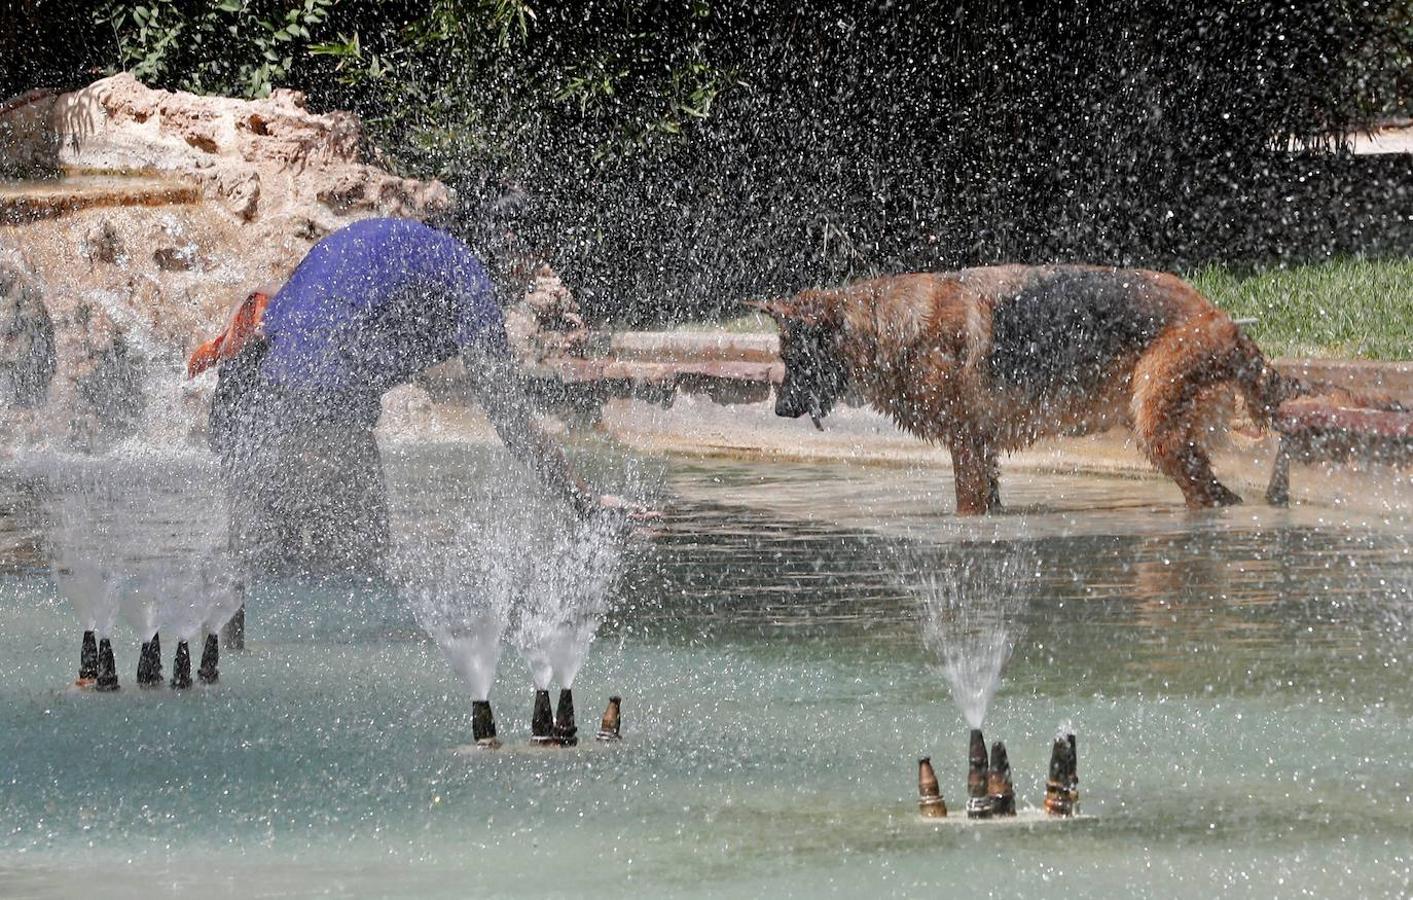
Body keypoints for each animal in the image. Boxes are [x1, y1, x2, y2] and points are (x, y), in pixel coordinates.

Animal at [757, 265, 1305, 511]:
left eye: (794, 359)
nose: (780, 410)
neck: (882, 328)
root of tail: (1223, 320)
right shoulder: (982, 450)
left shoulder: (966, 445)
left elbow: (968, 505)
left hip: (1159, 429)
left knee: (1211, 494)